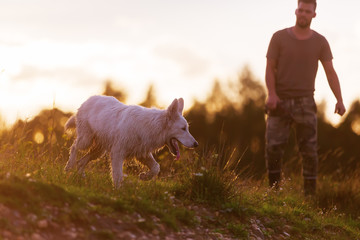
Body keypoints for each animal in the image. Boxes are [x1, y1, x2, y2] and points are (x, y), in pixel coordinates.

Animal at [65, 94, 200, 188]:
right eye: (183, 129)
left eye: (187, 128)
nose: (196, 144)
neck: (151, 126)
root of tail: (88, 99)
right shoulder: (117, 154)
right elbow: (118, 175)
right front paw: (118, 192)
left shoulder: (142, 154)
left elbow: (156, 168)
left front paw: (145, 177)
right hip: (86, 141)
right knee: (74, 147)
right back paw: (69, 167)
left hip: (99, 151)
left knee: (81, 162)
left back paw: (81, 176)